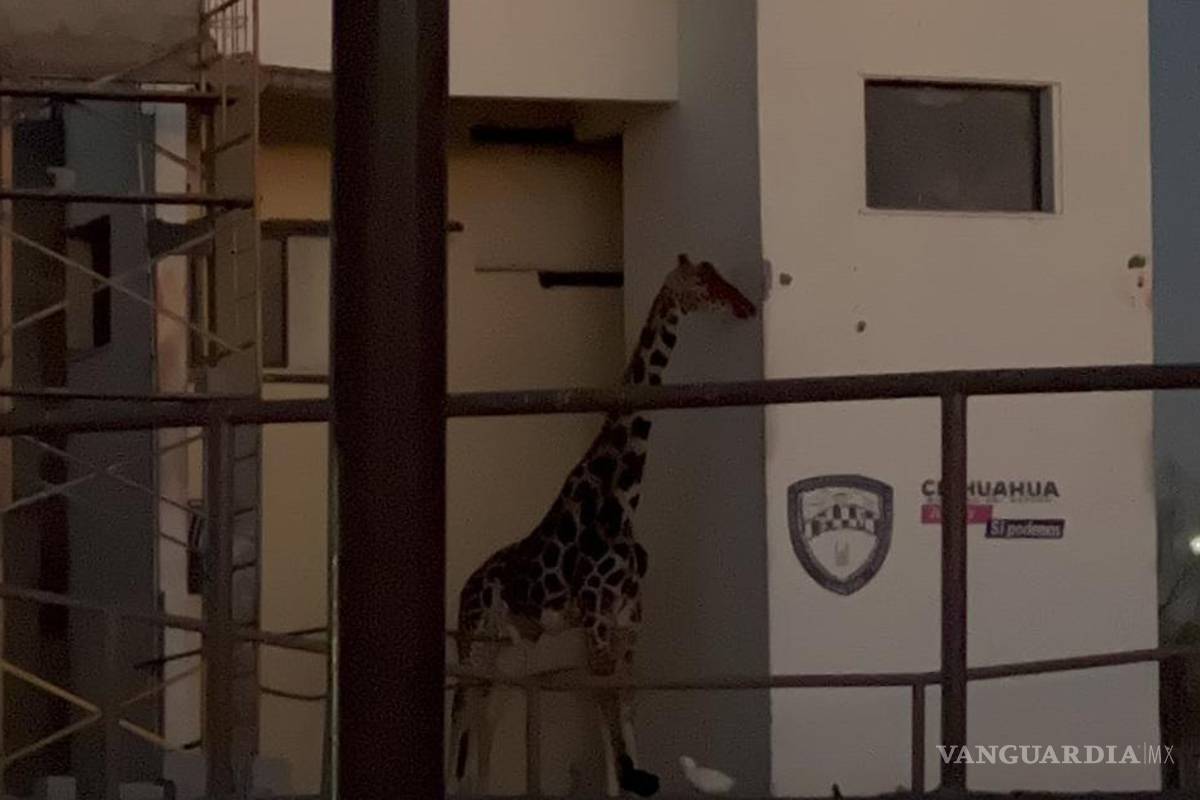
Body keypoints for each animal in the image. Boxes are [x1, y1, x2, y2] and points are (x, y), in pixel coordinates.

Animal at [448, 253, 756, 797]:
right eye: (702, 282)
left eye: (720, 275)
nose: (746, 305)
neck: (622, 498)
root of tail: (467, 584)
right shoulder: (594, 615)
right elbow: (606, 704)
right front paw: (632, 778)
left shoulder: (628, 618)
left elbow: (623, 704)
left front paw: (634, 779)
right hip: (475, 641)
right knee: (462, 709)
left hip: (509, 650)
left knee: (486, 715)